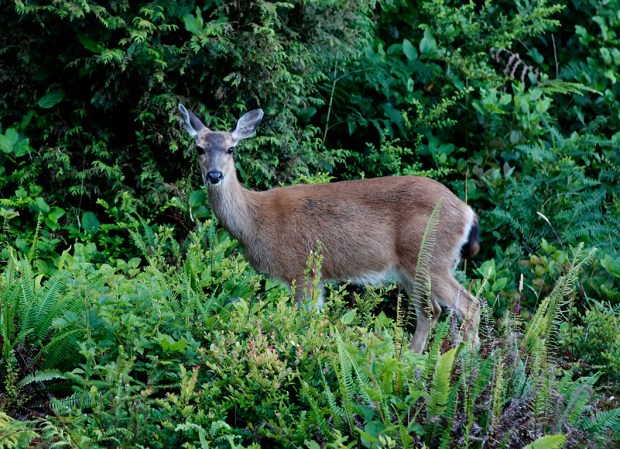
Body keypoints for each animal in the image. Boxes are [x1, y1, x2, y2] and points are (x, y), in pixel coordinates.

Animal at [179, 104, 481, 352]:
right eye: (199, 148)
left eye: (231, 149)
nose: (214, 175)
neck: (255, 222)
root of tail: (468, 212)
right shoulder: (317, 275)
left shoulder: (302, 267)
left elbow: (305, 321)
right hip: (410, 268)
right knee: (430, 311)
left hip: (431, 259)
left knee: (470, 306)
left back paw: (466, 364)